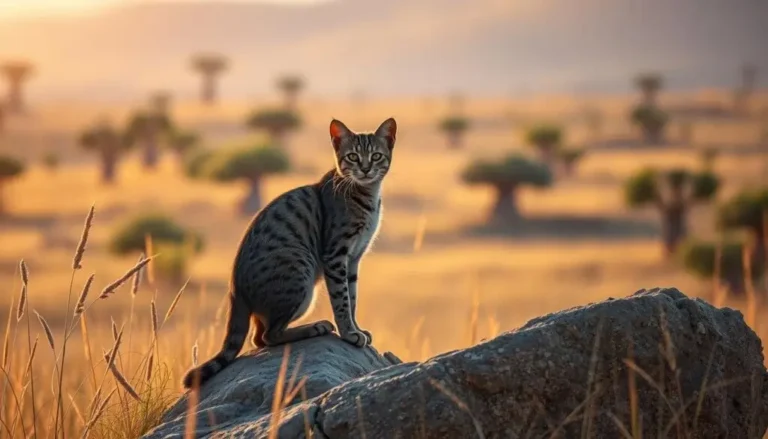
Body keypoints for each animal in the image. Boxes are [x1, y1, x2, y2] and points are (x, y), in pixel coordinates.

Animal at [180, 117, 396, 388]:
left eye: (376, 156)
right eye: (353, 157)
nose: (366, 169)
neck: (365, 195)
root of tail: (235, 290)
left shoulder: (354, 258)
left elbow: (353, 298)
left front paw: (357, 329)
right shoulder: (336, 255)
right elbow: (342, 301)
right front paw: (349, 333)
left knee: (259, 337)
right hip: (299, 272)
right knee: (267, 336)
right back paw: (315, 327)